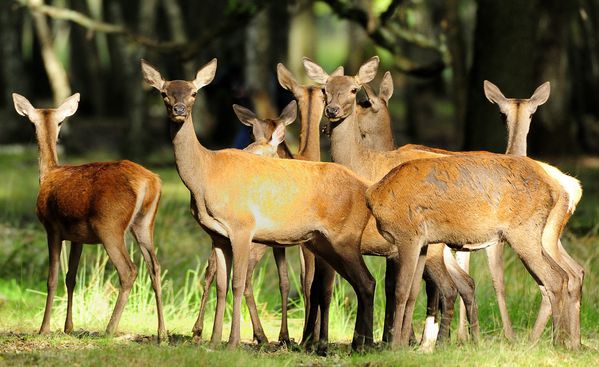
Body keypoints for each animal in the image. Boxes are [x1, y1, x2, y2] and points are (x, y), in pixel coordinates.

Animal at [12, 93, 166, 340]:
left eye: (31, 122)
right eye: (59, 122)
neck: (48, 174)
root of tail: (150, 182)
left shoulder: (51, 227)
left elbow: (52, 278)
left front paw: (44, 328)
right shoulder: (77, 238)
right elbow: (71, 277)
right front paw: (68, 327)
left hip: (109, 224)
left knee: (129, 270)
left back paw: (109, 330)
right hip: (144, 222)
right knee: (155, 267)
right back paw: (162, 334)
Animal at [192, 100, 296, 344]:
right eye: (250, 135)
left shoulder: (281, 243)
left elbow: (284, 282)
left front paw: (285, 335)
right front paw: (286, 336)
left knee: (211, 268)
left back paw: (199, 329)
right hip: (254, 242)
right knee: (245, 279)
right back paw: (258, 335)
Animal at [302, 56, 480, 350]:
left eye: (354, 90)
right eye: (325, 89)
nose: (331, 112)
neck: (367, 166)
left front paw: (369, 341)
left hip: (435, 246)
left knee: (446, 287)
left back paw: (435, 342)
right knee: (464, 283)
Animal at [368, 153, 584, 350]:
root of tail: (561, 188)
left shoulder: (407, 235)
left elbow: (401, 290)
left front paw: (394, 346)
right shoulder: (423, 243)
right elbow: (413, 292)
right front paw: (405, 344)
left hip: (525, 232)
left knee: (555, 279)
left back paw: (557, 342)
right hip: (542, 236)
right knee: (569, 273)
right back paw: (569, 343)